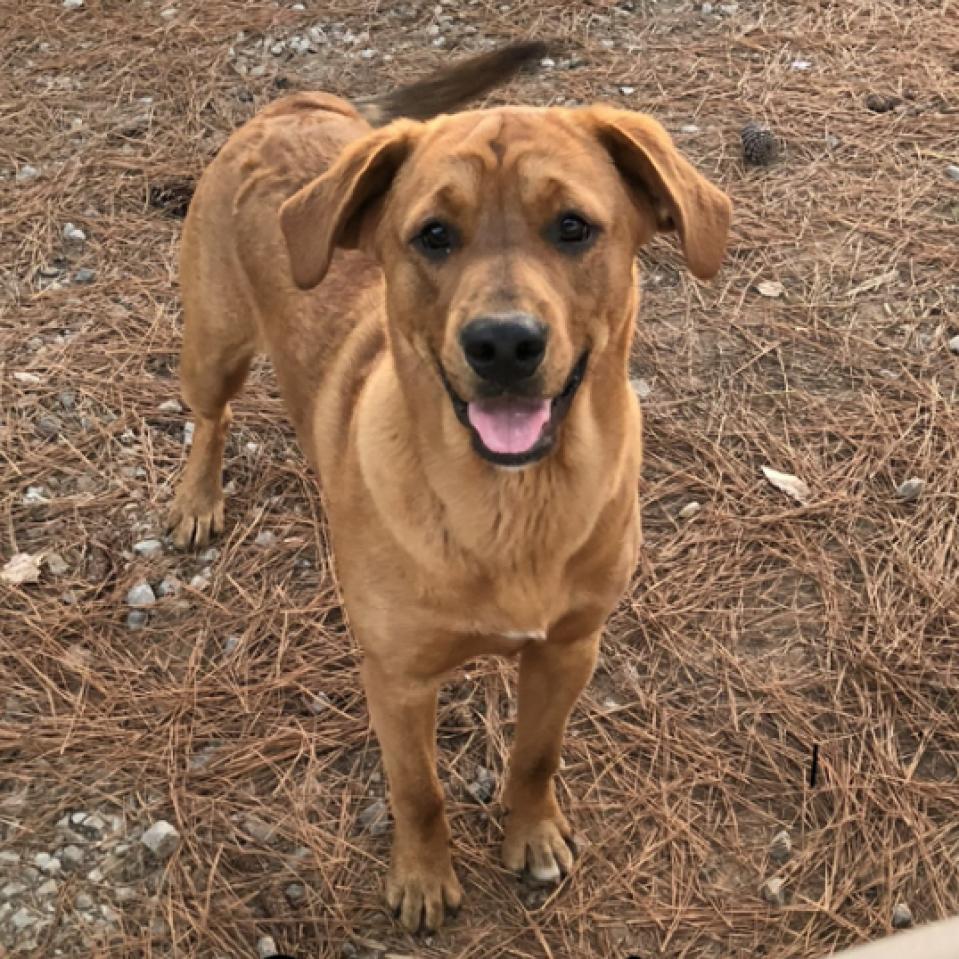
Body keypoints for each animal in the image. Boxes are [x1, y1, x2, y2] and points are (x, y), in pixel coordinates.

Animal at [169, 43, 732, 928]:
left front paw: (530, 834)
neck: (509, 506)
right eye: (432, 236)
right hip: (214, 341)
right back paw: (197, 496)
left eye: (573, 227)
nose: (502, 343)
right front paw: (423, 877)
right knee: (209, 414)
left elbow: (535, 756)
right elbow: (418, 791)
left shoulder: (568, 649)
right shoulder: (397, 682)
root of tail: (296, 104)